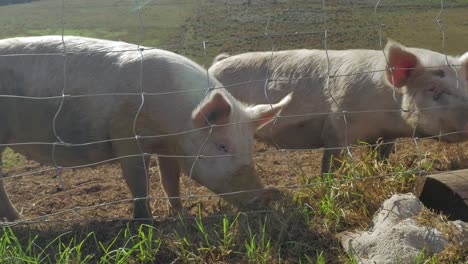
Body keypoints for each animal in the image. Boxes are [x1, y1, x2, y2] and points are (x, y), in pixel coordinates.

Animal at [0, 34, 292, 221]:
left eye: (250, 147)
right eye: (221, 145)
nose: (266, 196)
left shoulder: (169, 146)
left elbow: (170, 180)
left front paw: (179, 215)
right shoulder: (126, 136)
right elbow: (140, 182)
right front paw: (145, 222)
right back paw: (20, 221)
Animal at [210, 40, 468, 173]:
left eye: (465, 86)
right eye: (432, 88)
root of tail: (214, 66)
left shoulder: (385, 135)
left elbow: (381, 157)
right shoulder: (337, 125)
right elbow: (332, 162)